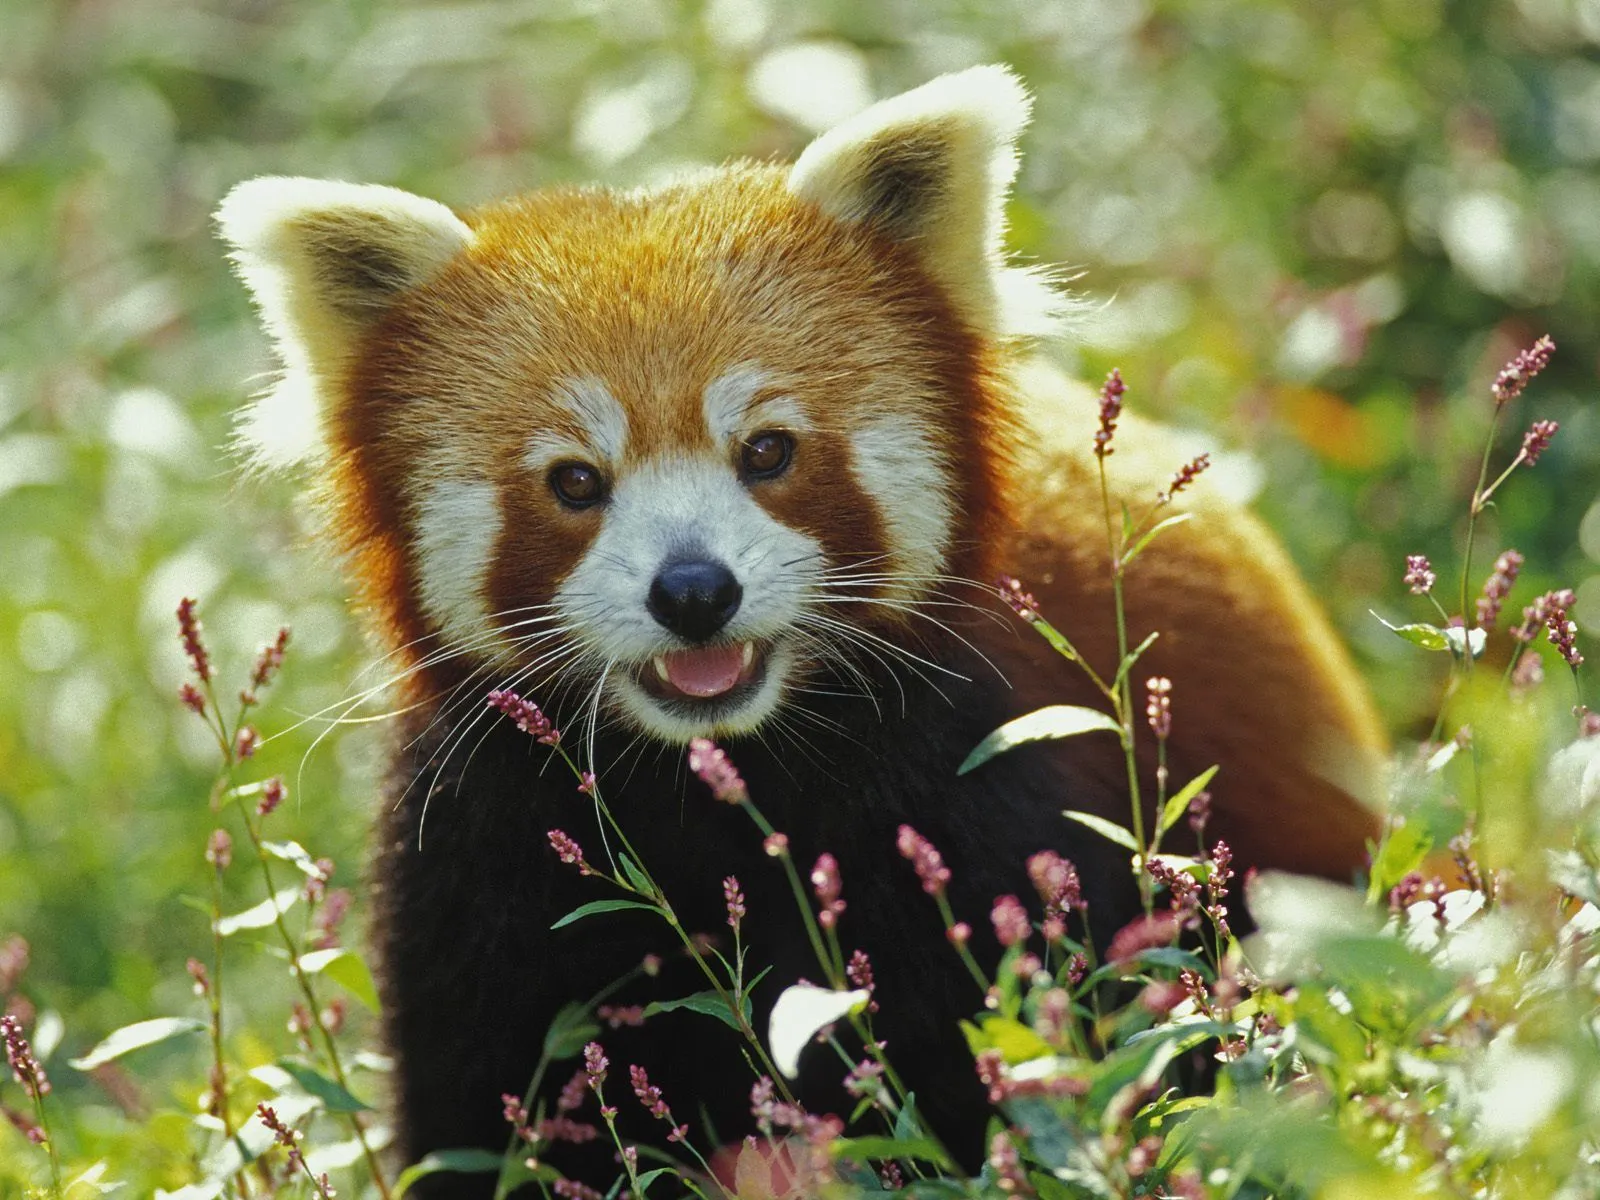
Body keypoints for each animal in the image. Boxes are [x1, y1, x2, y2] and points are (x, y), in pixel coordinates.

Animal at [219, 68, 1382, 1200]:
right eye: (575, 482)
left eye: (767, 451)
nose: (694, 592)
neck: (713, 784)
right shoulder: (483, 857)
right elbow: (490, 1110)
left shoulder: (972, 791)